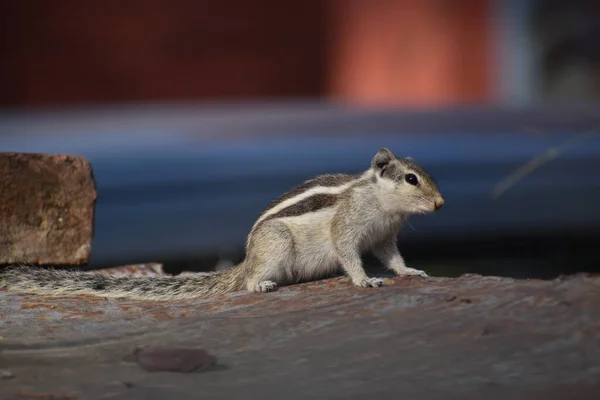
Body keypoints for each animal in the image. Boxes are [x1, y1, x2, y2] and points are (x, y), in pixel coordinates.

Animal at [1, 149, 446, 300]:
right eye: (412, 179)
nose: (441, 203)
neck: (381, 203)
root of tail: (246, 261)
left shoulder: (385, 237)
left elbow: (392, 257)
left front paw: (410, 271)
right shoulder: (347, 227)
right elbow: (348, 253)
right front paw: (364, 280)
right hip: (276, 246)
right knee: (249, 283)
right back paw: (260, 284)